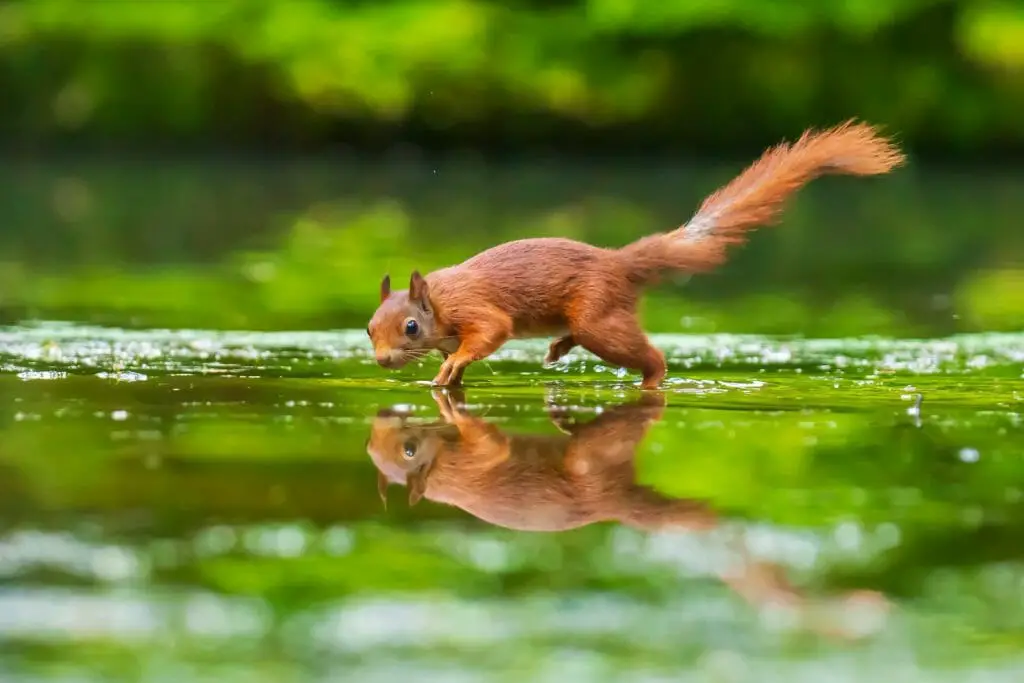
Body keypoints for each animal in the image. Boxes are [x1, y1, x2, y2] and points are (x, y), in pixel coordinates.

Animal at [367, 121, 905, 388]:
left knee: (649, 357)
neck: (439, 301)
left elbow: (487, 334)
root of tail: (618, 262)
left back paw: (652, 380)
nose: (383, 360)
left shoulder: (477, 312)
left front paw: (453, 365)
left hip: (599, 319)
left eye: (411, 327)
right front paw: (446, 377)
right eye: (370, 328)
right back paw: (558, 349)